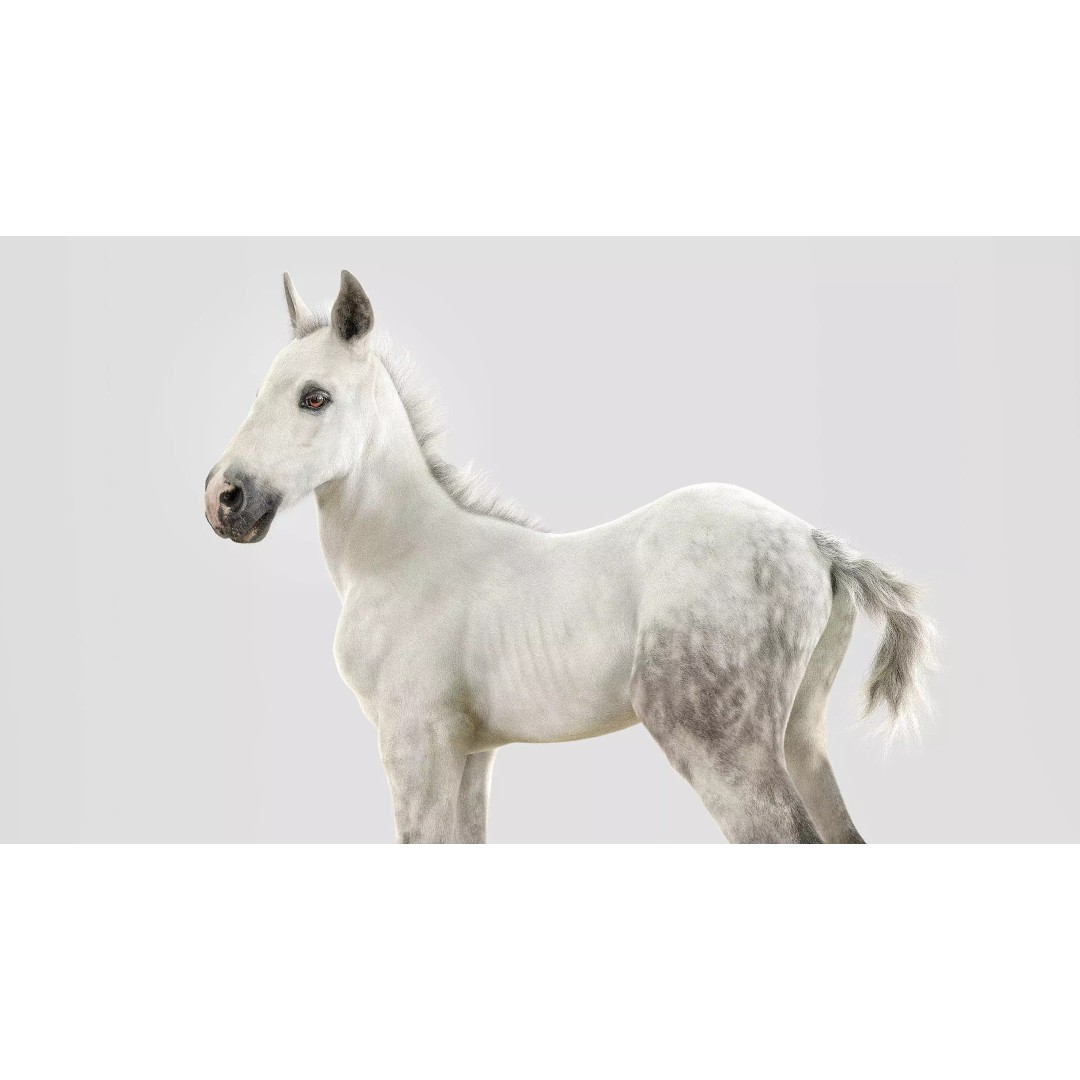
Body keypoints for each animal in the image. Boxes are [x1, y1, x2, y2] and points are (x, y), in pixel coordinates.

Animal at [204, 270, 934, 843]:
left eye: (315, 397)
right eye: (260, 393)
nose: (224, 499)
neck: (401, 558)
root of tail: (816, 542)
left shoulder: (414, 743)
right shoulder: (470, 753)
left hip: (718, 743)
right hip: (799, 735)